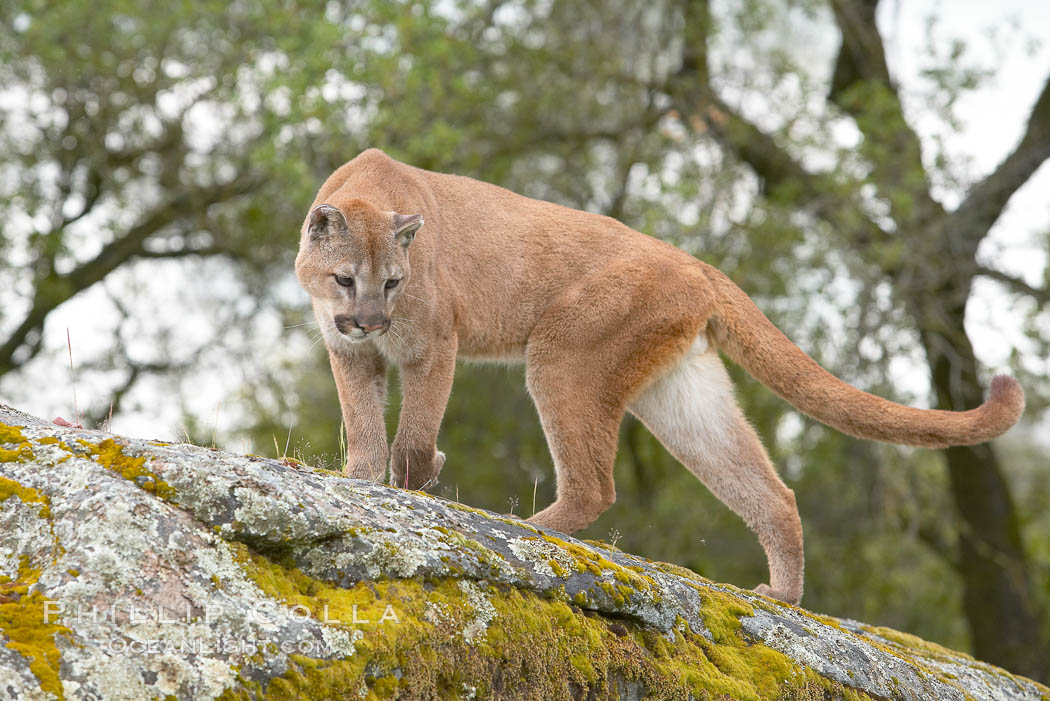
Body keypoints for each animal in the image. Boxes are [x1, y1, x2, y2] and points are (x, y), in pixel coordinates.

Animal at [296, 147, 1024, 604]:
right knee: (771, 493)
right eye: (346, 279)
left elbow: (415, 432)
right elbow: (365, 423)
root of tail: (693, 261)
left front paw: (418, 480)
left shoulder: (433, 344)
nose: (369, 320)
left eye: (393, 281)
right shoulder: (349, 353)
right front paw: (360, 480)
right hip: (681, 395)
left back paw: (530, 525)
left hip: (560, 353)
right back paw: (782, 596)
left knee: (596, 484)